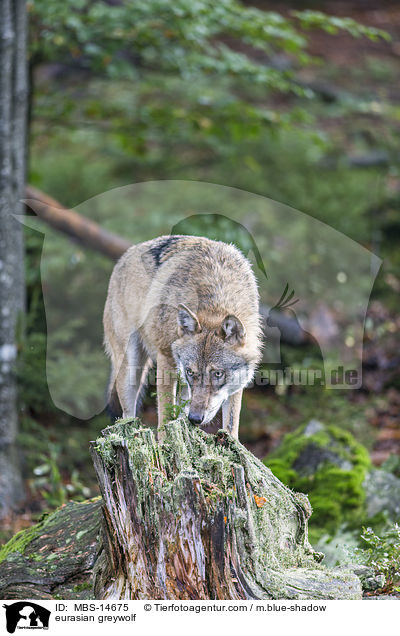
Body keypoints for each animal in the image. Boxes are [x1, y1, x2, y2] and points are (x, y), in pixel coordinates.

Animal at [103, 234, 262, 438]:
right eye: (191, 372)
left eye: (218, 374)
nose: (195, 418)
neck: (216, 298)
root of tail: (124, 256)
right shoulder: (165, 357)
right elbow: (165, 416)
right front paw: (164, 444)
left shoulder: (237, 383)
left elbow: (231, 426)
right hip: (131, 369)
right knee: (127, 414)